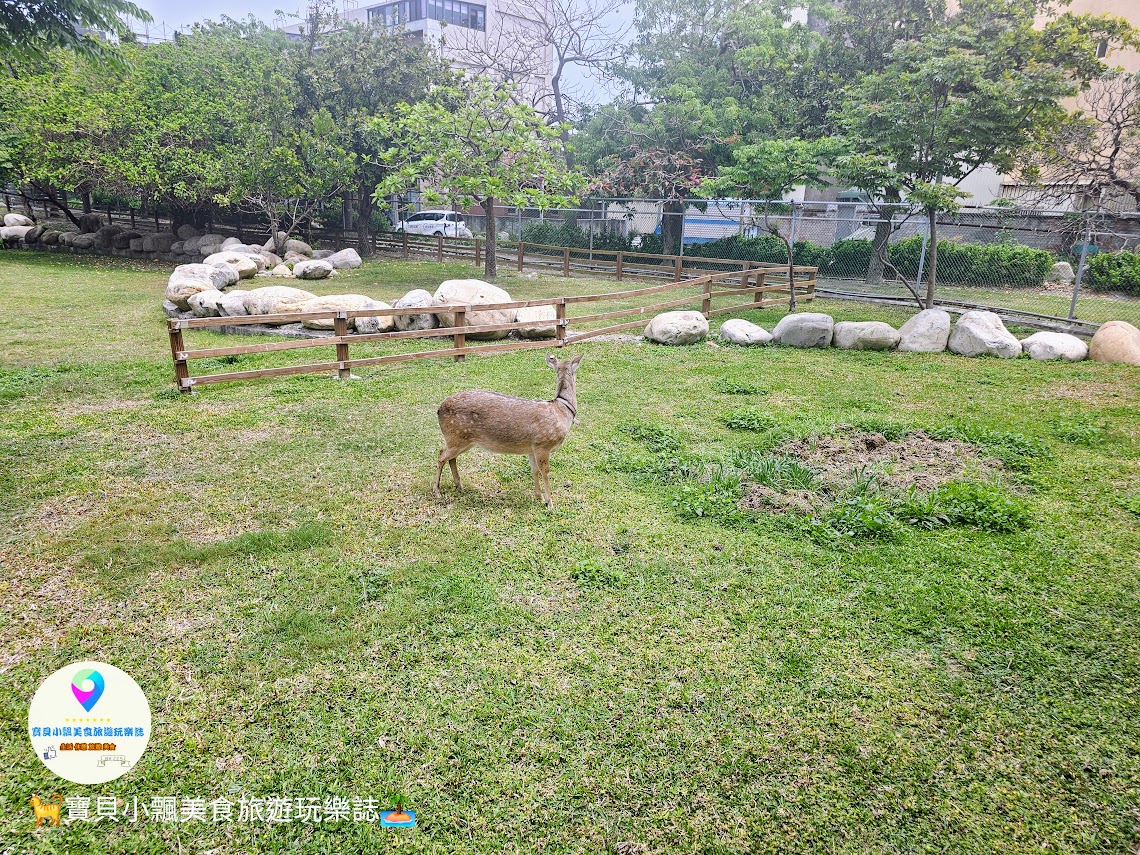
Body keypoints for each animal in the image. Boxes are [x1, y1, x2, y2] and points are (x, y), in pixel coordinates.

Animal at [434, 354, 583, 507]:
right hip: (455, 437)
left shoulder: (532, 448)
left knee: (451, 458)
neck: (562, 410)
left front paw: (539, 497)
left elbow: (534, 471)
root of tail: (439, 410)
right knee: (441, 455)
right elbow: (545, 472)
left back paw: (459, 485)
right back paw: (437, 491)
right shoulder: (543, 445)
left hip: (463, 440)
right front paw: (550, 503)